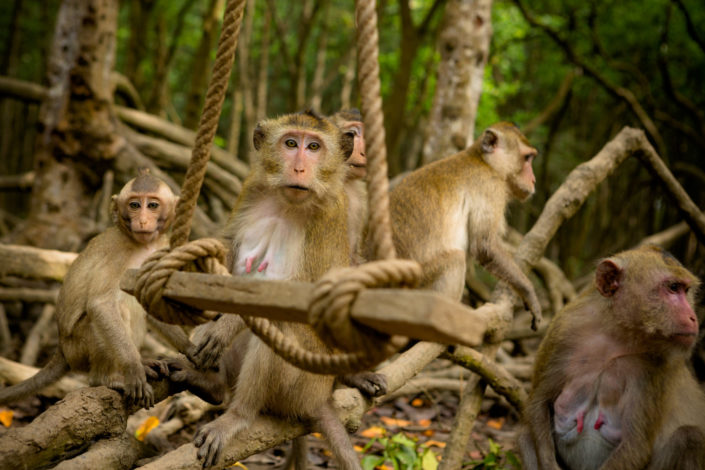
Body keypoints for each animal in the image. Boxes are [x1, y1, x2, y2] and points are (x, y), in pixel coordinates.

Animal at [0, 169, 177, 408]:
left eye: (152, 205)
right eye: (134, 205)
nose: (142, 220)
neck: (143, 246)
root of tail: (62, 350)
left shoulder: (162, 250)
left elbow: (154, 306)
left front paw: (195, 351)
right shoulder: (117, 252)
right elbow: (100, 305)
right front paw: (133, 369)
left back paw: (143, 363)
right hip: (79, 349)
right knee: (115, 311)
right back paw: (108, 379)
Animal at [380, 122, 540, 326]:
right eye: (527, 158)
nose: (533, 180)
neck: (485, 163)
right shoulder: (490, 188)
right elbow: (485, 247)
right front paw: (528, 291)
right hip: (416, 286)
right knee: (456, 259)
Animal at [516, 244, 704, 470]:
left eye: (686, 290)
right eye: (673, 287)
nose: (693, 317)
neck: (616, 334)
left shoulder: (657, 366)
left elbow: (635, 445)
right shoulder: (563, 331)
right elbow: (538, 405)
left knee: (689, 437)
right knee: (524, 434)